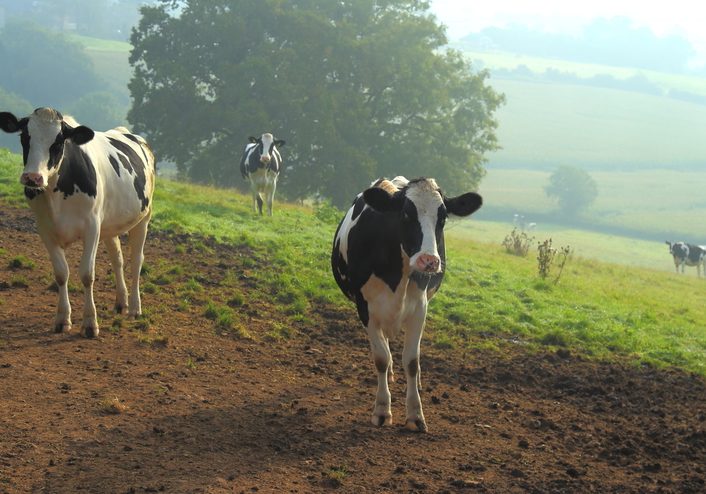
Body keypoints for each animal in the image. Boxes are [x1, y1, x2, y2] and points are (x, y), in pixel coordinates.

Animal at [0, 107, 155, 340]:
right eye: (24, 137)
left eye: (58, 142)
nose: (32, 178)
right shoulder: (45, 229)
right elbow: (61, 274)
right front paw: (62, 319)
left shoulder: (92, 227)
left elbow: (87, 274)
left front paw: (90, 323)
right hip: (110, 225)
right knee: (117, 259)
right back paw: (122, 302)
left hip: (143, 218)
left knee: (136, 260)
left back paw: (135, 308)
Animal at [332, 176, 482, 430]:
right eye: (405, 214)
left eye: (443, 218)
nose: (429, 260)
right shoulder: (365, 308)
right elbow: (381, 358)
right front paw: (382, 410)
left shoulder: (420, 308)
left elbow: (411, 360)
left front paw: (415, 414)